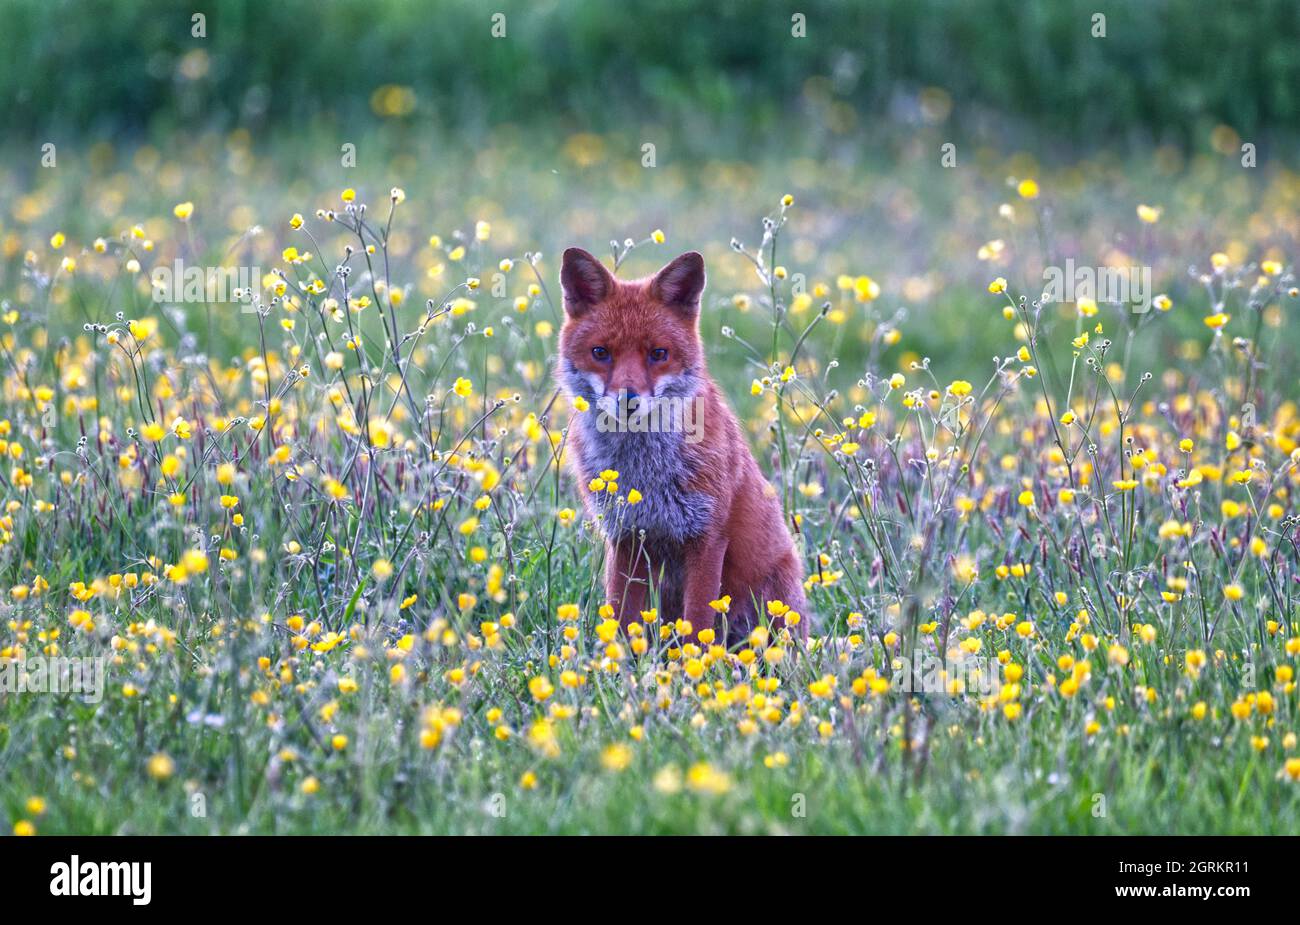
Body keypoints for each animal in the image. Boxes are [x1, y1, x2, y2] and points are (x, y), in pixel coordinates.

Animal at [561, 244, 806, 644]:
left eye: (658, 354)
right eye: (600, 353)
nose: (628, 400)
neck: (643, 472)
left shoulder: (707, 538)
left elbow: (697, 627)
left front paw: (695, 663)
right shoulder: (625, 539)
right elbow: (621, 620)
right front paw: (619, 661)